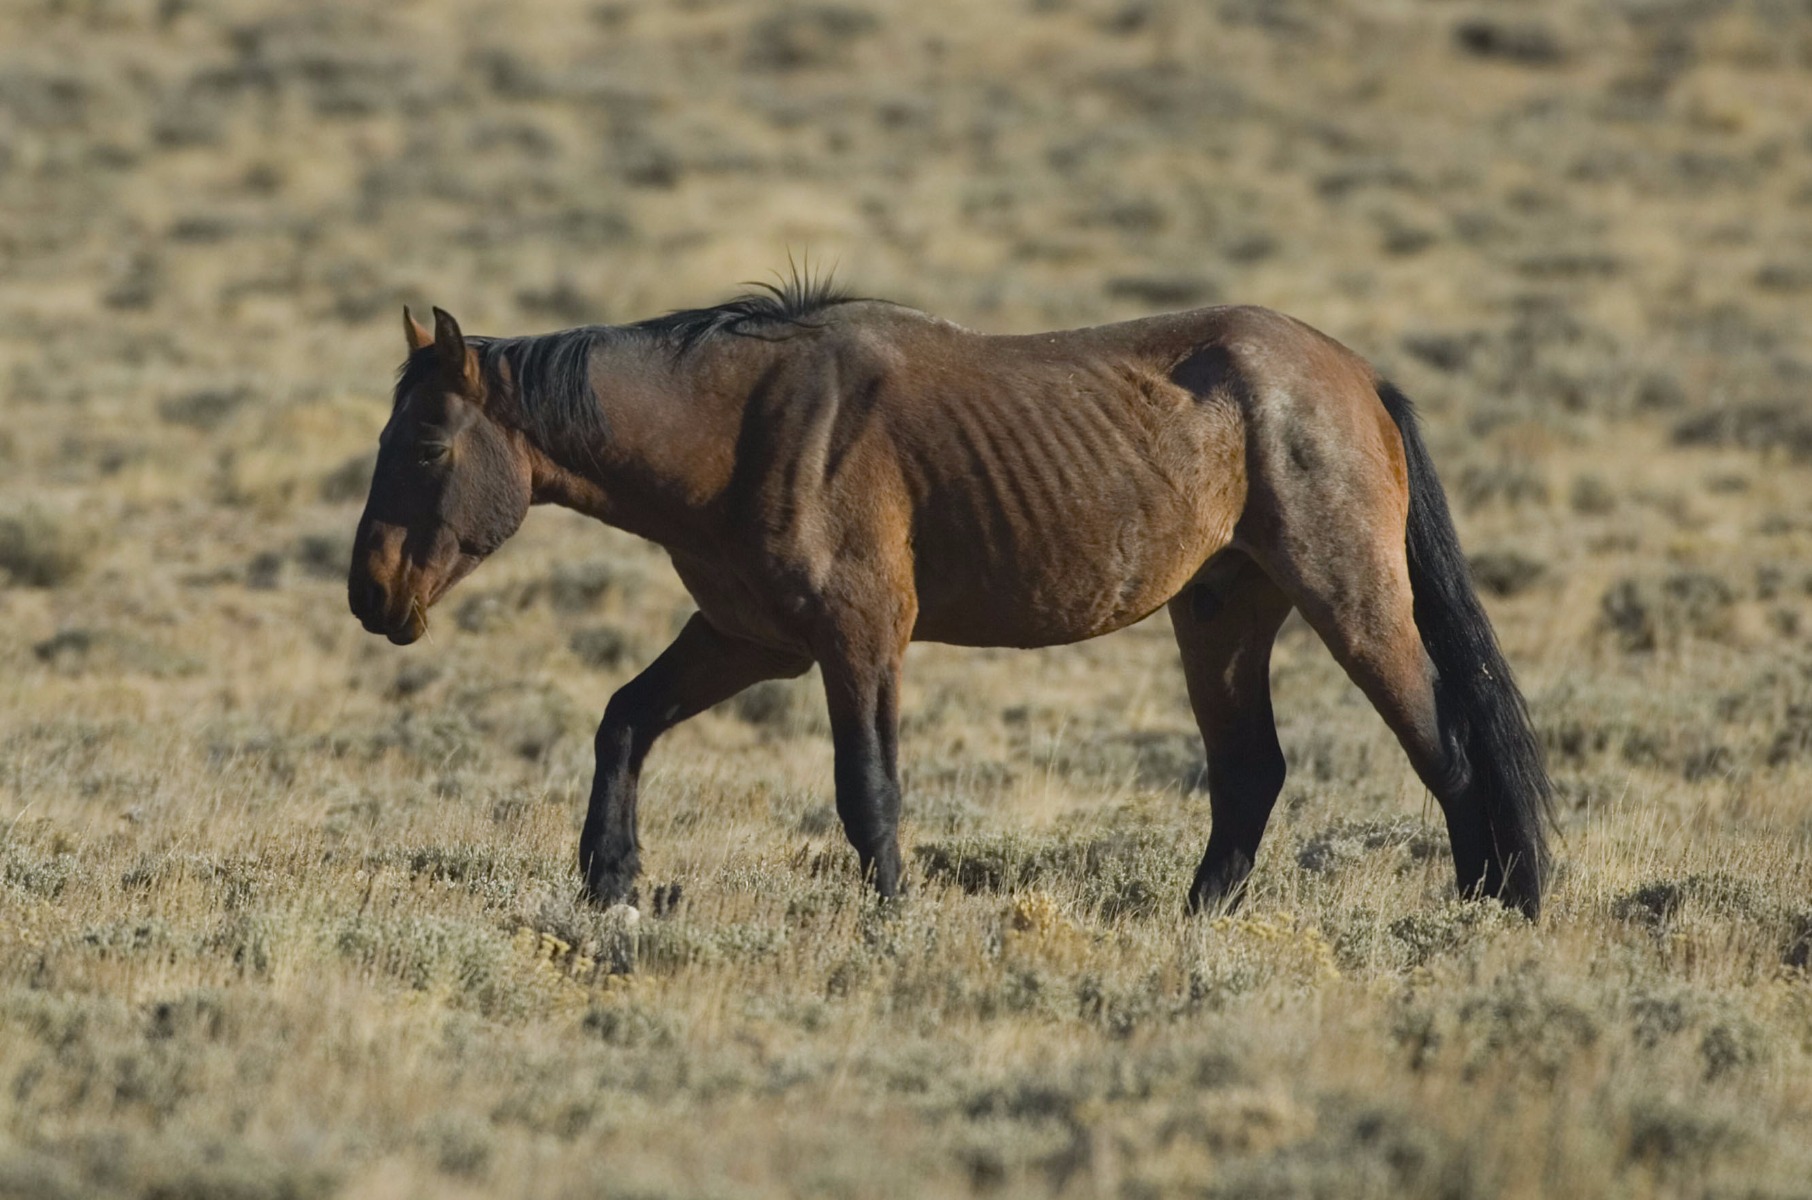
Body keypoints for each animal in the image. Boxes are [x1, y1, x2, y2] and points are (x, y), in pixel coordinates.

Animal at [348, 279, 1554, 918]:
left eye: (426, 445)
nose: (372, 593)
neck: (746, 430)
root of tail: (1358, 378)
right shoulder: (749, 638)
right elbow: (626, 719)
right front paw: (611, 883)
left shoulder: (859, 638)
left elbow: (867, 790)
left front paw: (892, 916)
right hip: (1222, 611)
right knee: (1252, 772)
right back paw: (1197, 919)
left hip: (1351, 599)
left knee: (1443, 745)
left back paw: (1488, 905)